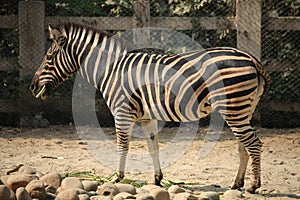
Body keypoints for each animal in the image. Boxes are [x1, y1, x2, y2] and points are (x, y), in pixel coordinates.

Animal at [29, 22, 270, 194]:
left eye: (49, 57)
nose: (32, 86)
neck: (112, 70)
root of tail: (251, 58)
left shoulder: (122, 113)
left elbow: (122, 146)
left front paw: (116, 177)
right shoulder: (146, 117)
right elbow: (153, 146)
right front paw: (157, 179)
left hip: (234, 108)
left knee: (254, 144)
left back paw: (253, 186)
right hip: (241, 109)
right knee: (243, 146)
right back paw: (237, 184)